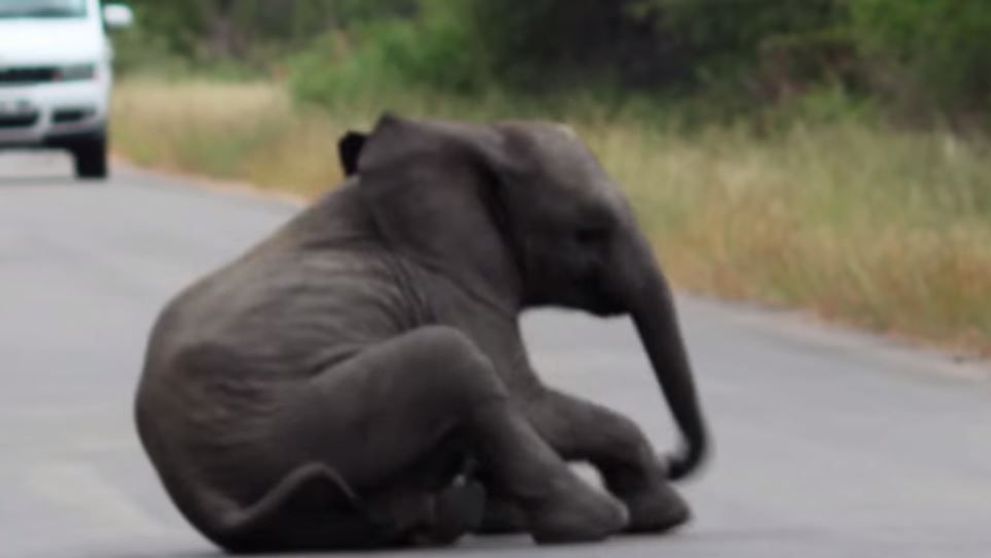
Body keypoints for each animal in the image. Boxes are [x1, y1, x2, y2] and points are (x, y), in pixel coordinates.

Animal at [134, 114, 710, 553]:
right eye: (590, 231)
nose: (674, 458)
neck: (476, 137)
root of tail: (204, 498)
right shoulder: (452, 282)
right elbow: (525, 401)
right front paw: (664, 514)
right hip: (294, 425)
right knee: (455, 361)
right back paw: (595, 520)